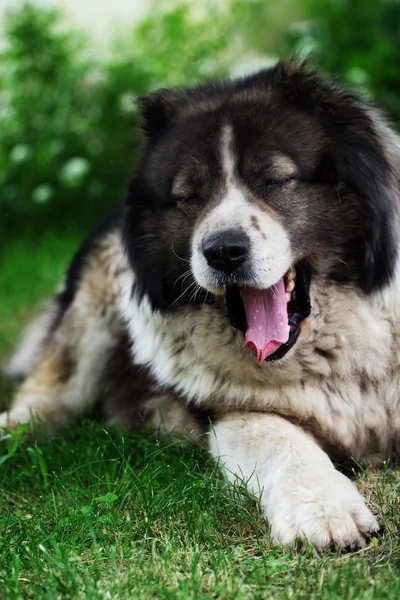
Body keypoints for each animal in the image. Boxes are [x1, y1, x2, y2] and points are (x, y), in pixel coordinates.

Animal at [3, 59, 400, 548]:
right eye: (189, 196)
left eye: (274, 179)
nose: (223, 251)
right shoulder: (233, 413)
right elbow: (285, 442)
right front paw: (327, 511)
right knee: (48, 394)